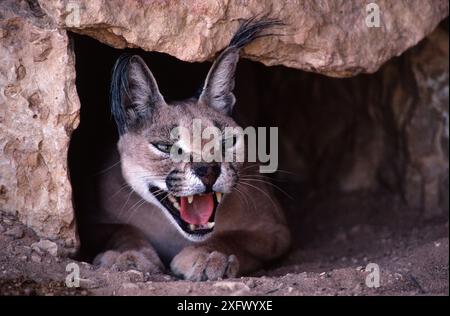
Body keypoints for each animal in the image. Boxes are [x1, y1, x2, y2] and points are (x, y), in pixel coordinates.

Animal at [87, 20, 292, 282]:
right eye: (165, 147)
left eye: (226, 142)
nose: (208, 171)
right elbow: (122, 229)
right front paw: (128, 255)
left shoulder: (275, 228)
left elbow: (233, 237)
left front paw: (209, 255)